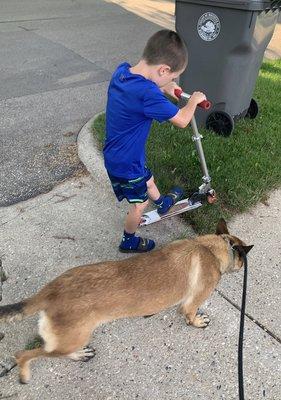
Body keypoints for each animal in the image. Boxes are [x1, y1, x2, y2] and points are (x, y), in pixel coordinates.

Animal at [0, 219, 252, 384]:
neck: (210, 248)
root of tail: (49, 292)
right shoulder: (190, 304)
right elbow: (190, 315)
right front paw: (197, 322)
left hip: (71, 337)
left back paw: (79, 355)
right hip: (71, 338)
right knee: (24, 355)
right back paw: (26, 370)